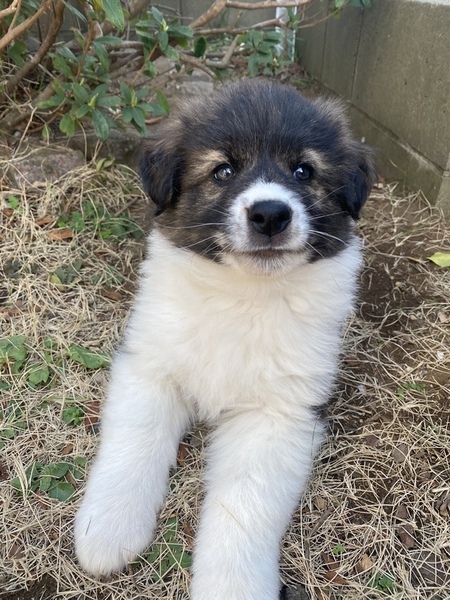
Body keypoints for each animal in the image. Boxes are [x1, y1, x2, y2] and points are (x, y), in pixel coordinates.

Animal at [74, 79, 375, 600]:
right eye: (223, 171)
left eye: (304, 170)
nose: (270, 214)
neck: (243, 294)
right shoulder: (149, 365)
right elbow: (133, 442)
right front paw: (108, 529)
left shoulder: (280, 413)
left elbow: (246, 502)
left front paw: (232, 587)